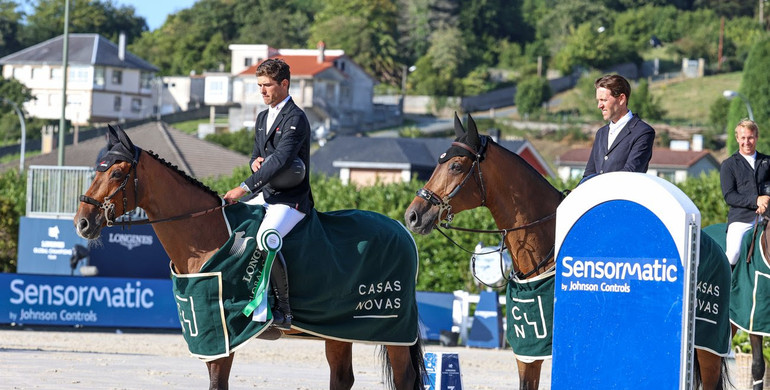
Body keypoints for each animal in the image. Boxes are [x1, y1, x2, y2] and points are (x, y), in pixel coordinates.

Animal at [74, 125, 424, 390]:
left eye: (117, 173)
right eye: (97, 170)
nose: (82, 222)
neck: (205, 234)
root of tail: (400, 230)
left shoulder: (223, 333)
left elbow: (218, 385)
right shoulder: (206, 332)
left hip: (393, 331)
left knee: (404, 380)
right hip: (338, 329)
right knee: (342, 379)